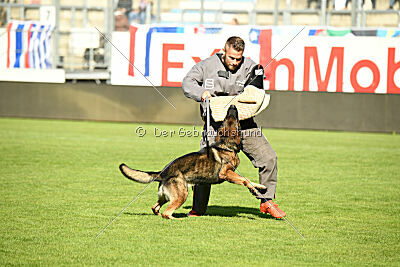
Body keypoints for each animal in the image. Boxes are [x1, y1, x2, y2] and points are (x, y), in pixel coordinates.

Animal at [120, 105, 268, 220]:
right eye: (236, 121)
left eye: (226, 120)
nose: (232, 106)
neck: (225, 144)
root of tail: (163, 172)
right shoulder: (226, 173)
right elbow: (245, 179)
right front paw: (253, 189)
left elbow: (248, 179)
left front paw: (259, 187)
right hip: (182, 195)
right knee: (166, 213)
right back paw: (178, 219)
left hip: (165, 197)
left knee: (155, 208)